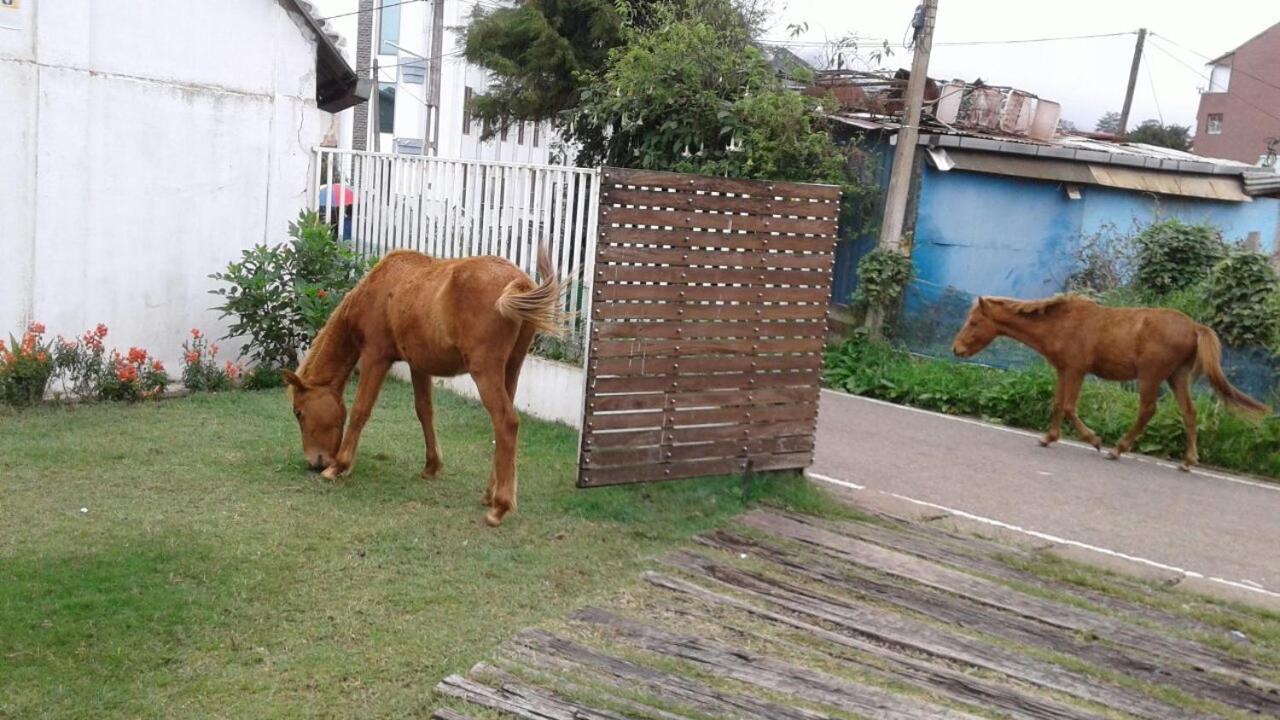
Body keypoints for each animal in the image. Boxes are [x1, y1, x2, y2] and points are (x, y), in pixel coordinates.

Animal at [282, 244, 563, 520]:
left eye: (298, 412)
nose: (314, 462)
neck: (378, 289)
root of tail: (519, 282)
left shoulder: (375, 357)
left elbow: (361, 410)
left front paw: (339, 466)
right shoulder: (418, 366)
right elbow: (424, 411)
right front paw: (431, 465)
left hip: (485, 372)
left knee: (506, 422)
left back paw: (500, 506)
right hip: (511, 370)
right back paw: (490, 493)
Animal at [952, 293, 1269, 468]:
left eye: (974, 322)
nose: (956, 349)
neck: (1061, 322)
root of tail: (1193, 327)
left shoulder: (1076, 370)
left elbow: (1068, 407)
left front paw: (1094, 440)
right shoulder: (1063, 371)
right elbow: (1057, 404)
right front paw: (1048, 437)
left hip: (1151, 376)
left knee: (1147, 410)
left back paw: (1118, 449)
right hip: (1176, 377)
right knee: (1189, 413)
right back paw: (1188, 461)